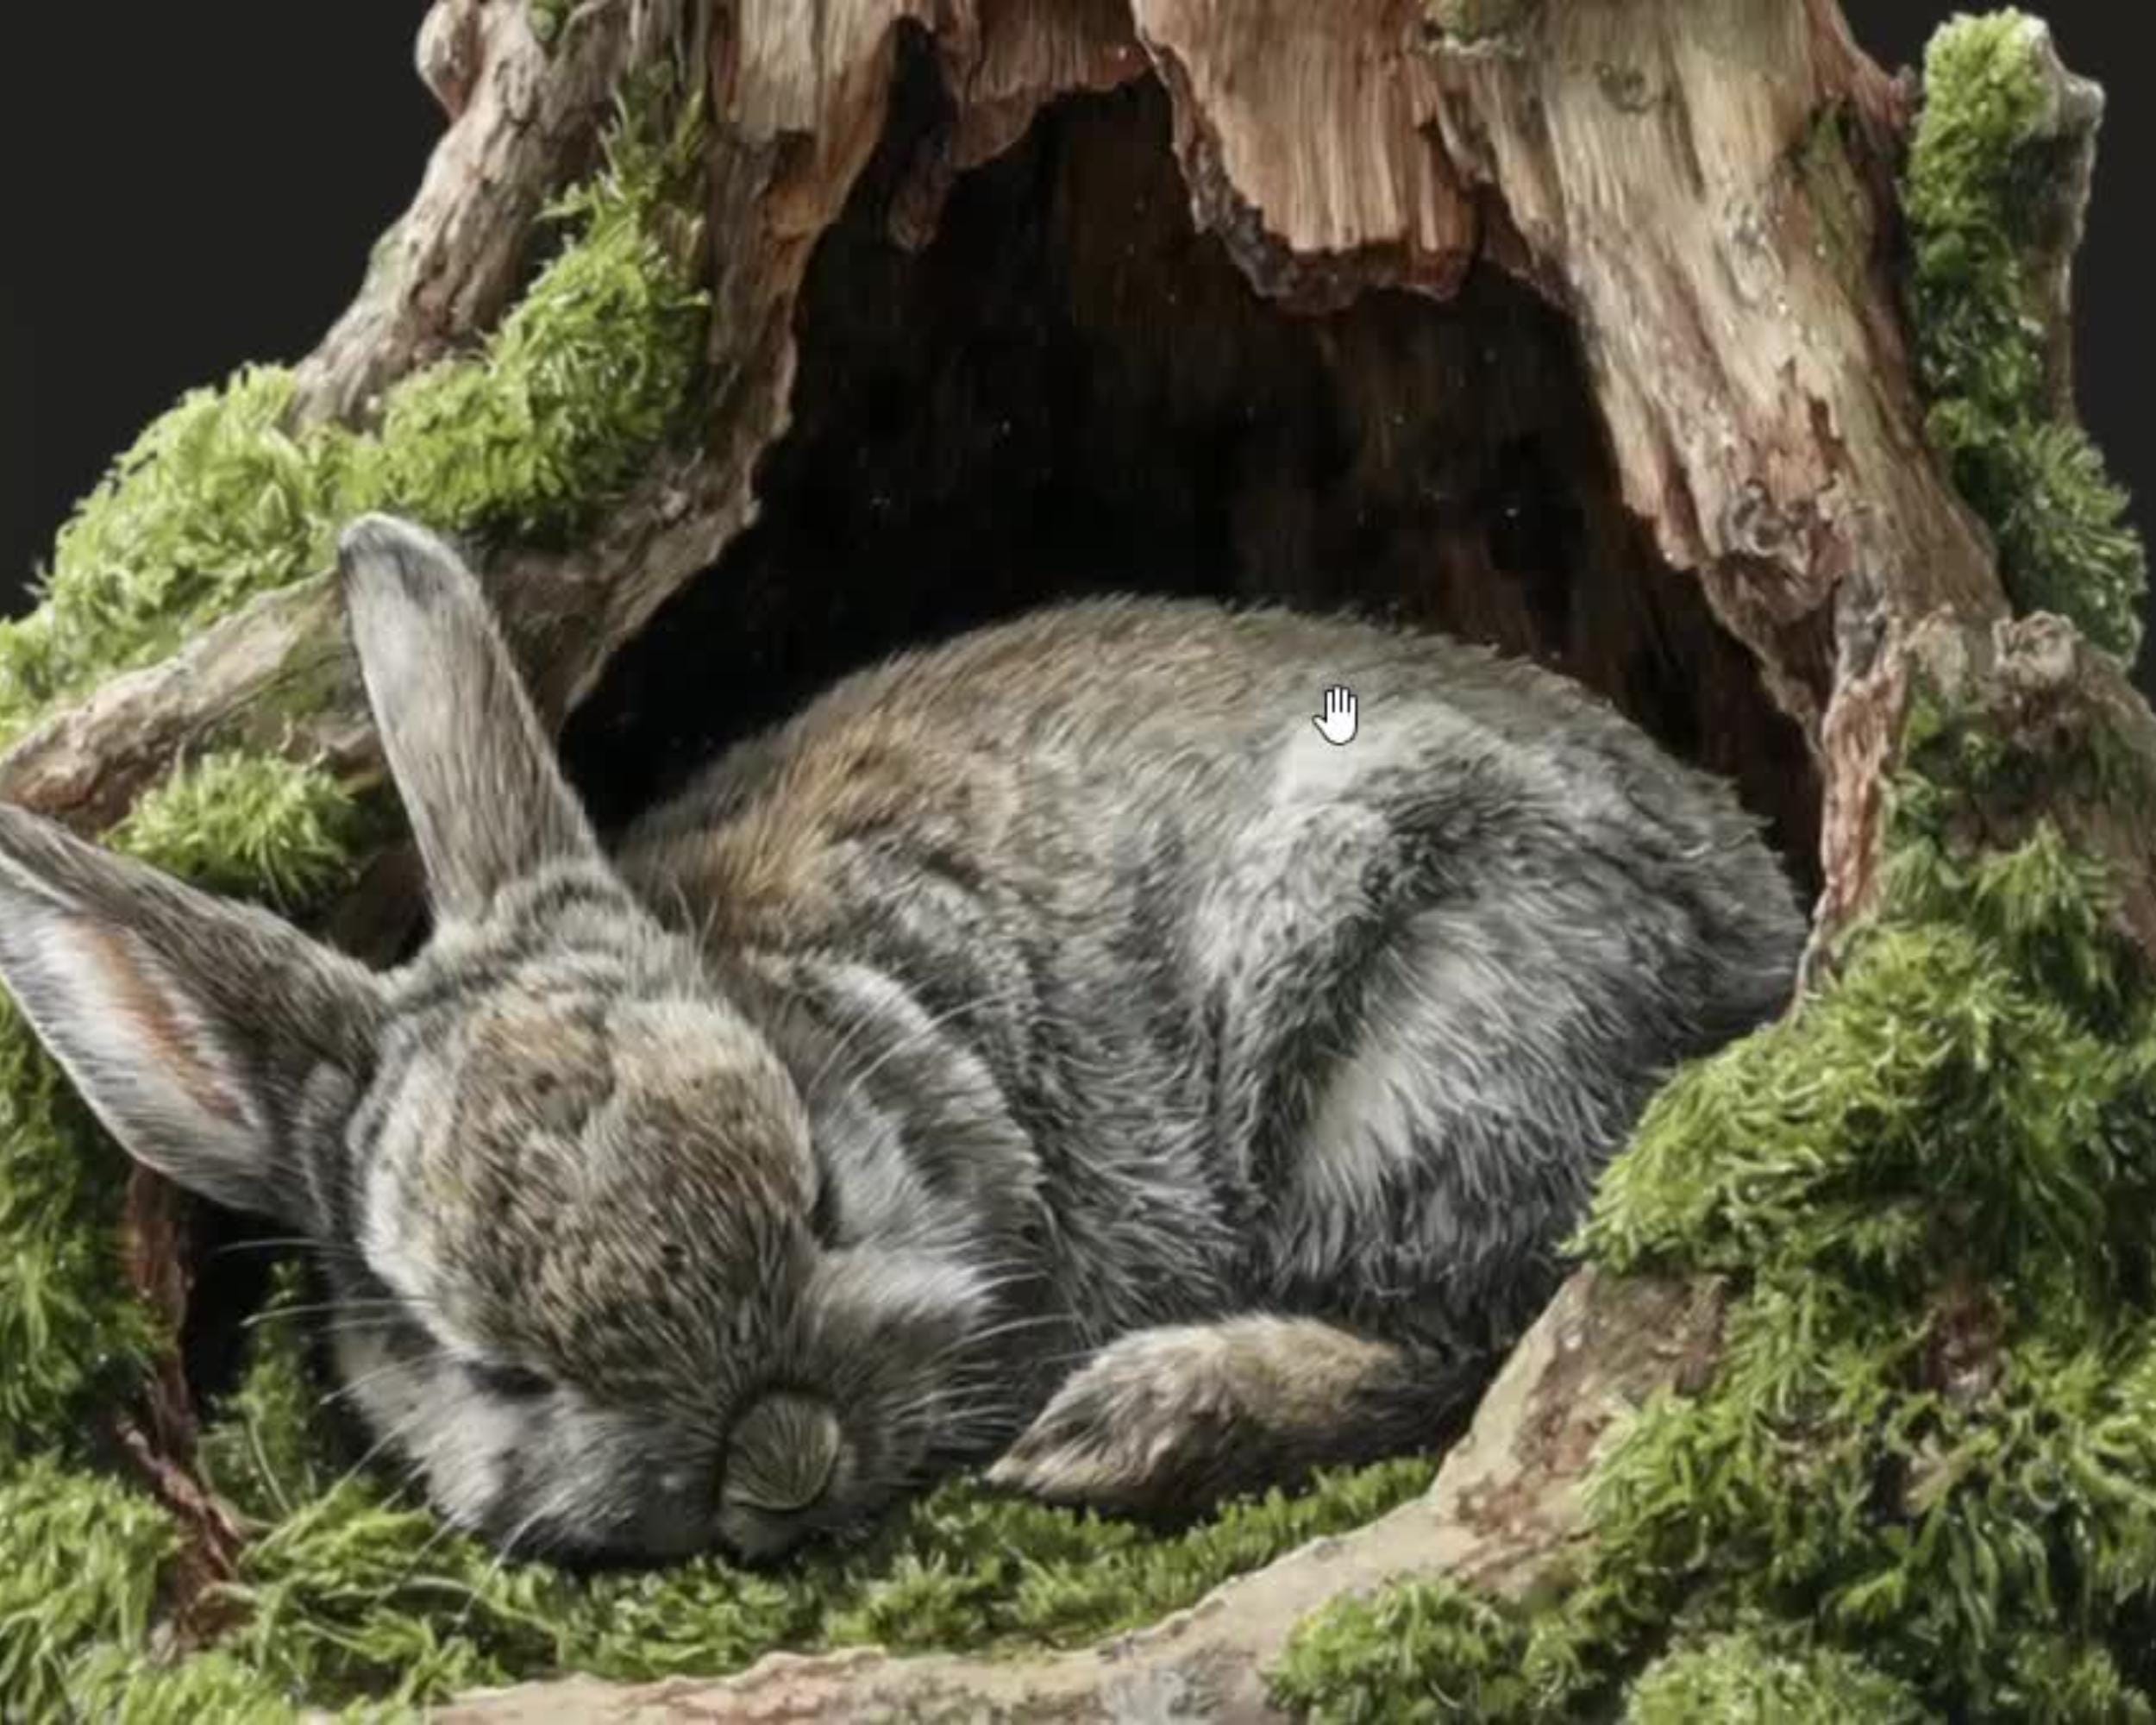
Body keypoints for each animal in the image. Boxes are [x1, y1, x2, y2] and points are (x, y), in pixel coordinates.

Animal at [0, 512, 1807, 1566]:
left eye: (821, 1198)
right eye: (494, 1373)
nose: (784, 1459)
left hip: (1419, 1023)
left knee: (1484, 1330)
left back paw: (1120, 1429)